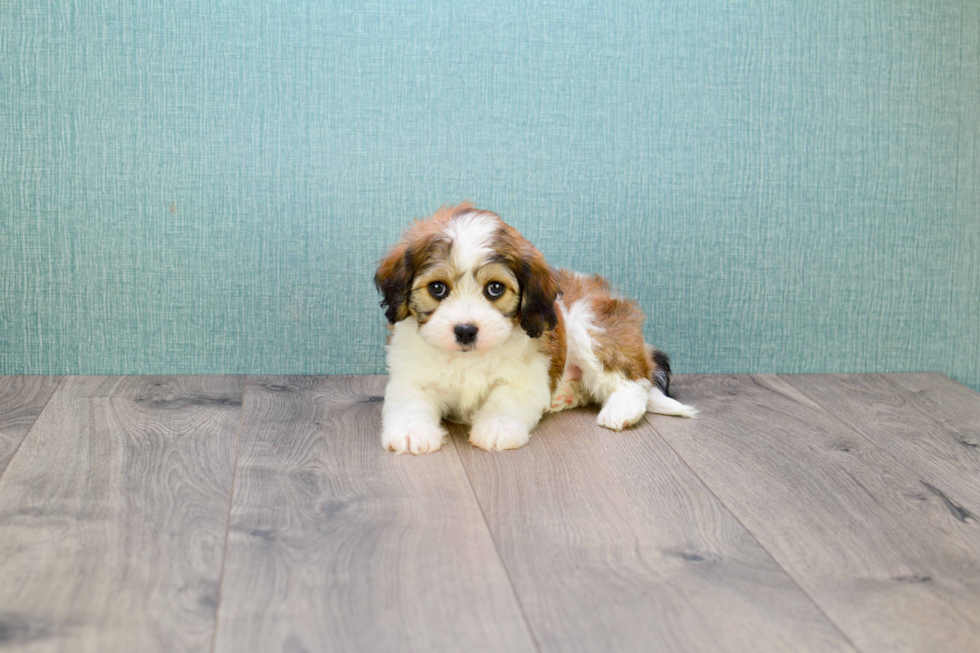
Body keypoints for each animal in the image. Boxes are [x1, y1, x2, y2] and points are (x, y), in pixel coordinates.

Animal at [372, 204, 692, 454]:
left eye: (495, 288)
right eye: (437, 288)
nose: (465, 330)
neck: (469, 359)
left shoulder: (525, 377)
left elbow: (506, 399)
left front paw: (498, 427)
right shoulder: (411, 375)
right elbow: (410, 400)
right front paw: (411, 432)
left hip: (589, 326)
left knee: (633, 380)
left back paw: (620, 410)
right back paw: (565, 395)